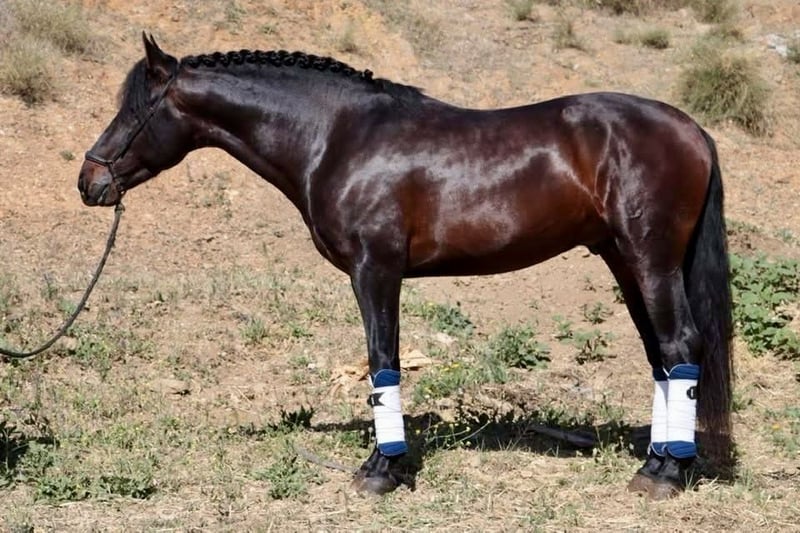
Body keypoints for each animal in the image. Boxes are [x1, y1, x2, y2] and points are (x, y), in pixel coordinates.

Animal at [79, 33, 733, 500]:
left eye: (134, 112)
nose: (90, 181)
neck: (336, 136)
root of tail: (692, 129)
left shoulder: (375, 271)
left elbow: (381, 362)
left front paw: (381, 471)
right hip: (625, 261)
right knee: (661, 357)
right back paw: (656, 462)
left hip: (650, 261)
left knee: (680, 345)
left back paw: (665, 475)